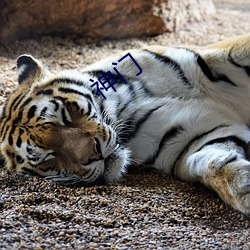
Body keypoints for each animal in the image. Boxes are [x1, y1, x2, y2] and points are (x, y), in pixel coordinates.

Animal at [0, 32, 250, 213]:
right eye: (48, 158)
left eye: (65, 116)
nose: (95, 153)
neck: (123, 107)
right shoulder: (187, 137)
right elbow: (210, 162)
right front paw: (243, 188)